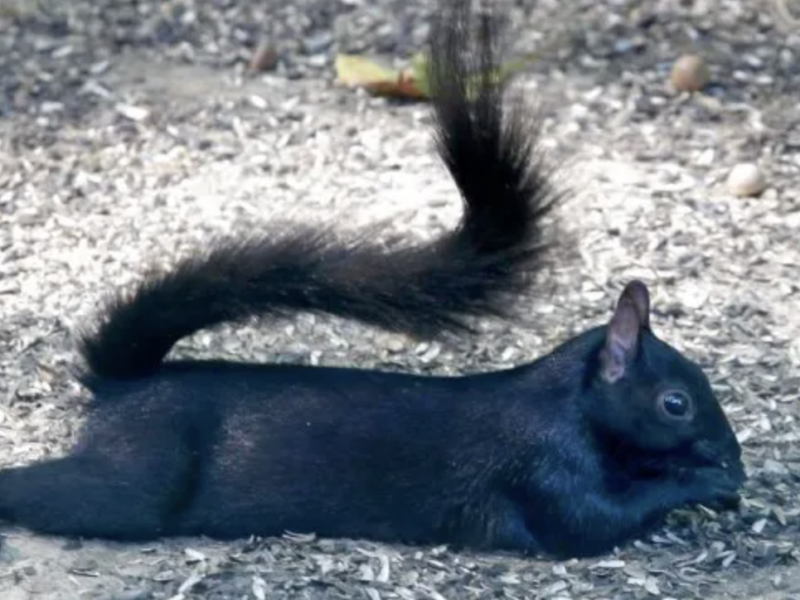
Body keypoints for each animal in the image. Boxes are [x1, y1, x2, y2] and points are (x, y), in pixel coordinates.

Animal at [0, 0, 744, 556]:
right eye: (675, 403)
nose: (733, 457)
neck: (564, 405)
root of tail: (122, 385)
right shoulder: (545, 474)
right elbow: (595, 523)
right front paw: (701, 482)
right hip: (137, 477)